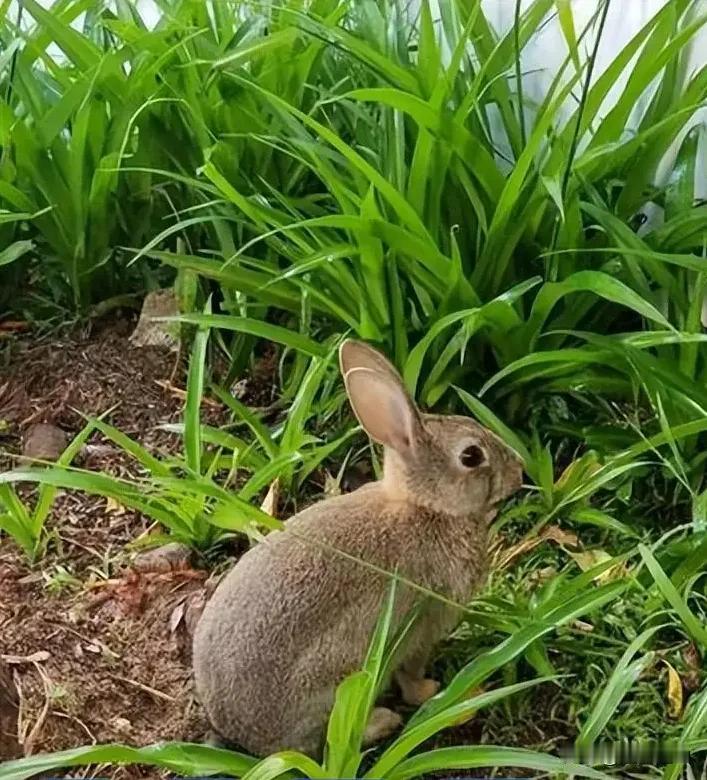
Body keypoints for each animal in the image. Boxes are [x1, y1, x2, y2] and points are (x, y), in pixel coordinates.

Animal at [191, 338, 524, 760]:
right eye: (471, 456)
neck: (427, 508)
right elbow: (411, 675)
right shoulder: (422, 626)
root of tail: (244, 733)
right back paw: (383, 721)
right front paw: (432, 692)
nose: (520, 471)